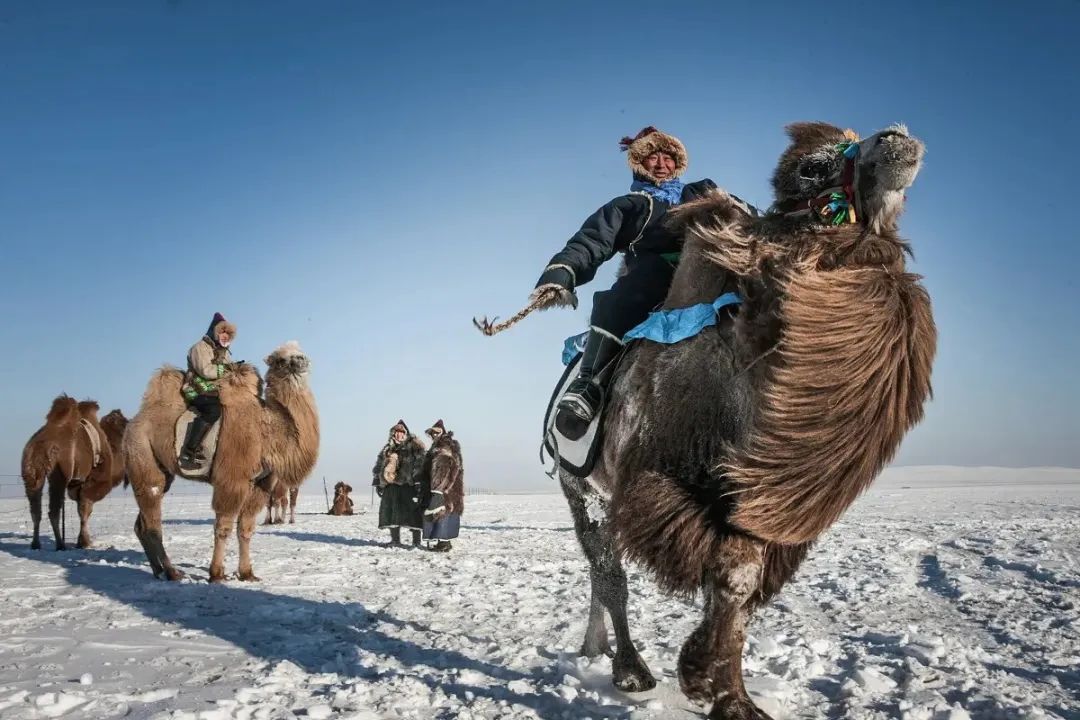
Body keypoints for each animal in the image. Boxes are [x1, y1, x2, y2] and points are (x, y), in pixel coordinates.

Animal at [20, 397, 112, 548]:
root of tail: (40, 446)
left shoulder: (77, 482)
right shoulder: (91, 479)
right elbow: (85, 508)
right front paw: (84, 542)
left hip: (31, 472)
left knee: (35, 510)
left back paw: (36, 544)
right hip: (58, 474)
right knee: (53, 511)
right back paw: (60, 545)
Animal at [125, 341, 317, 582]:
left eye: (299, 353)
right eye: (281, 359)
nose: (302, 361)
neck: (267, 431)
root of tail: (132, 423)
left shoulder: (260, 484)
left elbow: (246, 529)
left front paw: (247, 574)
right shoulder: (232, 478)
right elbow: (223, 527)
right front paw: (216, 574)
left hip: (160, 472)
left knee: (141, 524)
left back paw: (158, 571)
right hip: (142, 456)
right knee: (153, 524)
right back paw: (172, 572)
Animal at [552, 120, 933, 716]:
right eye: (813, 167)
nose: (896, 136)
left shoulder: (755, 503)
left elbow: (740, 583)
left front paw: (725, 689)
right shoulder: (659, 477)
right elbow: (729, 573)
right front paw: (711, 685)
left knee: (601, 568)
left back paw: (596, 650)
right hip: (578, 482)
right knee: (606, 569)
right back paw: (630, 671)